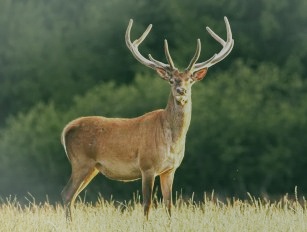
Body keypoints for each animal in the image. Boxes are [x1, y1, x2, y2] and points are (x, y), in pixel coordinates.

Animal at [61, 15, 235, 219]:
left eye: (190, 80)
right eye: (171, 80)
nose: (181, 91)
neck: (172, 142)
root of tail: (66, 129)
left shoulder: (170, 169)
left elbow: (169, 205)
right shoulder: (147, 166)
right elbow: (147, 204)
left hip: (93, 167)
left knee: (72, 196)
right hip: (81, 162)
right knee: (66, 194)